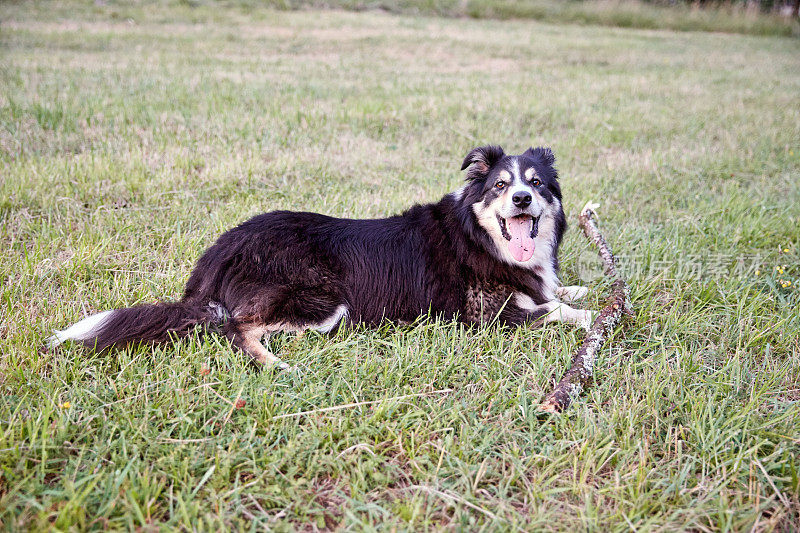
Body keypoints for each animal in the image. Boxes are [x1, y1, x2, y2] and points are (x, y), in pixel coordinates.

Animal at [45, 145, 592, 370]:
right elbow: (560, 310)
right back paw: (275, 364)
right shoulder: (488, 316)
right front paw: (588, 313)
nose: (521, 199)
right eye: (500, 185)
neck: (478, 236)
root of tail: (219, 252)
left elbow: (556, 289)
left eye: (536, 184)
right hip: (323, 301)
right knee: (236, 329)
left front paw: (581, 286)